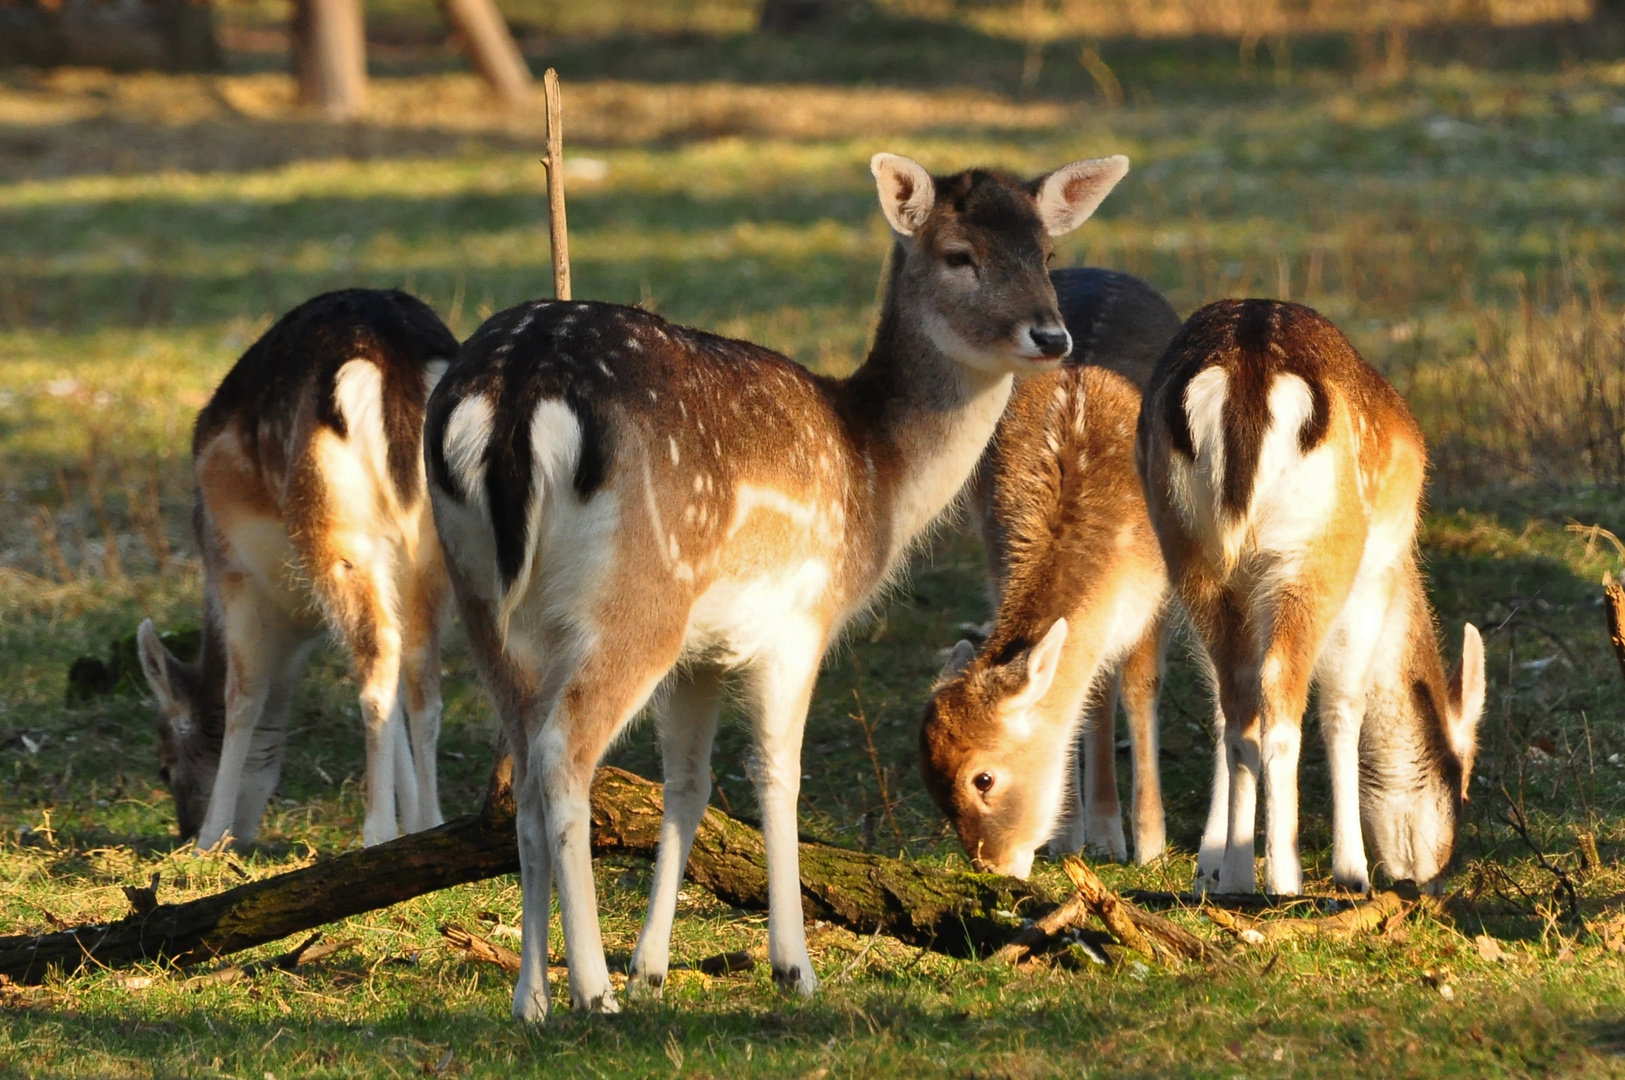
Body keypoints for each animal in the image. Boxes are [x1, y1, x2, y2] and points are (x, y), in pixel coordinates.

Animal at [138, 285, 458, 851]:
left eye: (165, 766)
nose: (186, 828)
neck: (295, 627)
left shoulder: (232, 571)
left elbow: (243, 694)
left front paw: (211, 840)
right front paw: (414, 821)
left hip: (337, 531)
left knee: (379, 660)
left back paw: (375, 831)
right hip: (435, 546)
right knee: (420, 665)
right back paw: (431, 822)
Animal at [422, 151, 1131, 1019]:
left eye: (1045, 252)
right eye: (958, 254)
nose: (1050, 334)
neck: (876, 472)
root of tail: (514, 391)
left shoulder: (700, 653)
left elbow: (688, 785)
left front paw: (652, 966)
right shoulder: (800, 618)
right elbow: (776, 778)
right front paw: (793, 967)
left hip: (481, 594)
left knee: (520, 769)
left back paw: (531, 997)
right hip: (638, 598)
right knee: (563, 754)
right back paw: (591, 990)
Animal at [916, 263, 1183, 876]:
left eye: (983, 778)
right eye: (932, 789)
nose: (990, 866)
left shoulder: (1156, 592)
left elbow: (1141, 688)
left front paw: (1152, 847)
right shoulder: (997, 562)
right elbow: (1084, 698)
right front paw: (1075, 836)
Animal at [1137, 297, 1482, 889]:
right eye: (1461, 783)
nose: (1433, 878)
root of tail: (1246, 370)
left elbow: (1221, 708)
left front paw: (1209, 859)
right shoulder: (1372, 574)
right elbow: (1345, 704)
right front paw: (1352, 870)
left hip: (1191, 548)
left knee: (1239, 698)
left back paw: (1237, 878)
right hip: (1314, 550)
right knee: (1279, 697)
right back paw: (1285, 879)